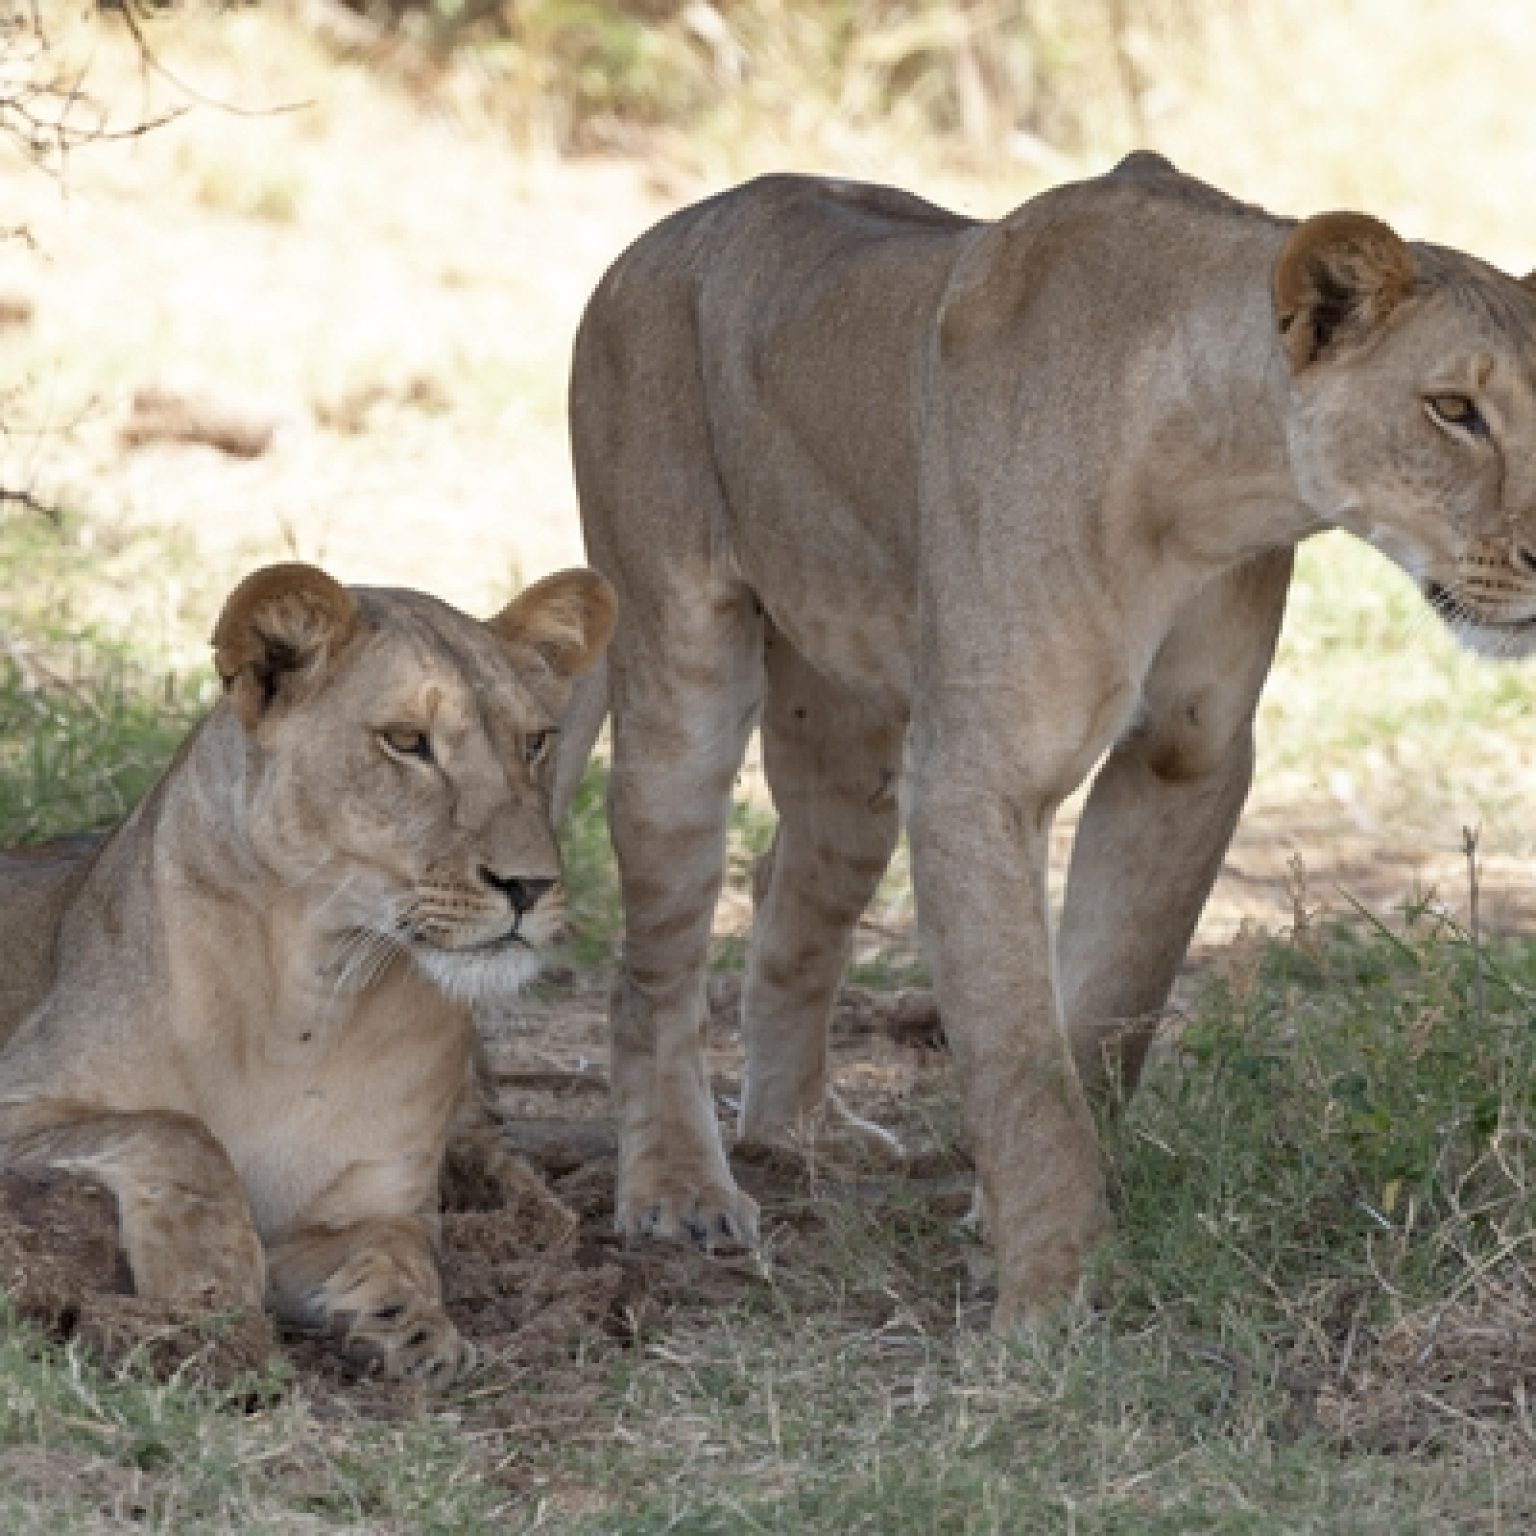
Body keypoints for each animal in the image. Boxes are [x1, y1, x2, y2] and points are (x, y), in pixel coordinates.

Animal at [0, 560, 615, 1383]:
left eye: (536, 742)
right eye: (406, 742)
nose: (532, 886)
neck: (314, 992)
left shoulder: (355, 1209)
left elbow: (398, 1248)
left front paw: (411, 1328)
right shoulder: (23, 1094)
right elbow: (177, 1131)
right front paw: (208, 1284)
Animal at [559, 151, 1536, 1327]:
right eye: (1454, 410)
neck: (1221, 474)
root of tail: (654, 238)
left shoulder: (1188, 756)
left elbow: (1113, 1006)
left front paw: (1010, 1232)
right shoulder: (977, 769)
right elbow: (1020, 1058)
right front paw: (1051, 1296)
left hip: (850, 732)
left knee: (790, 895)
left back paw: (797, 1136)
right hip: (680, 664)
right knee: (650, 964)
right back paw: (679, 1193)